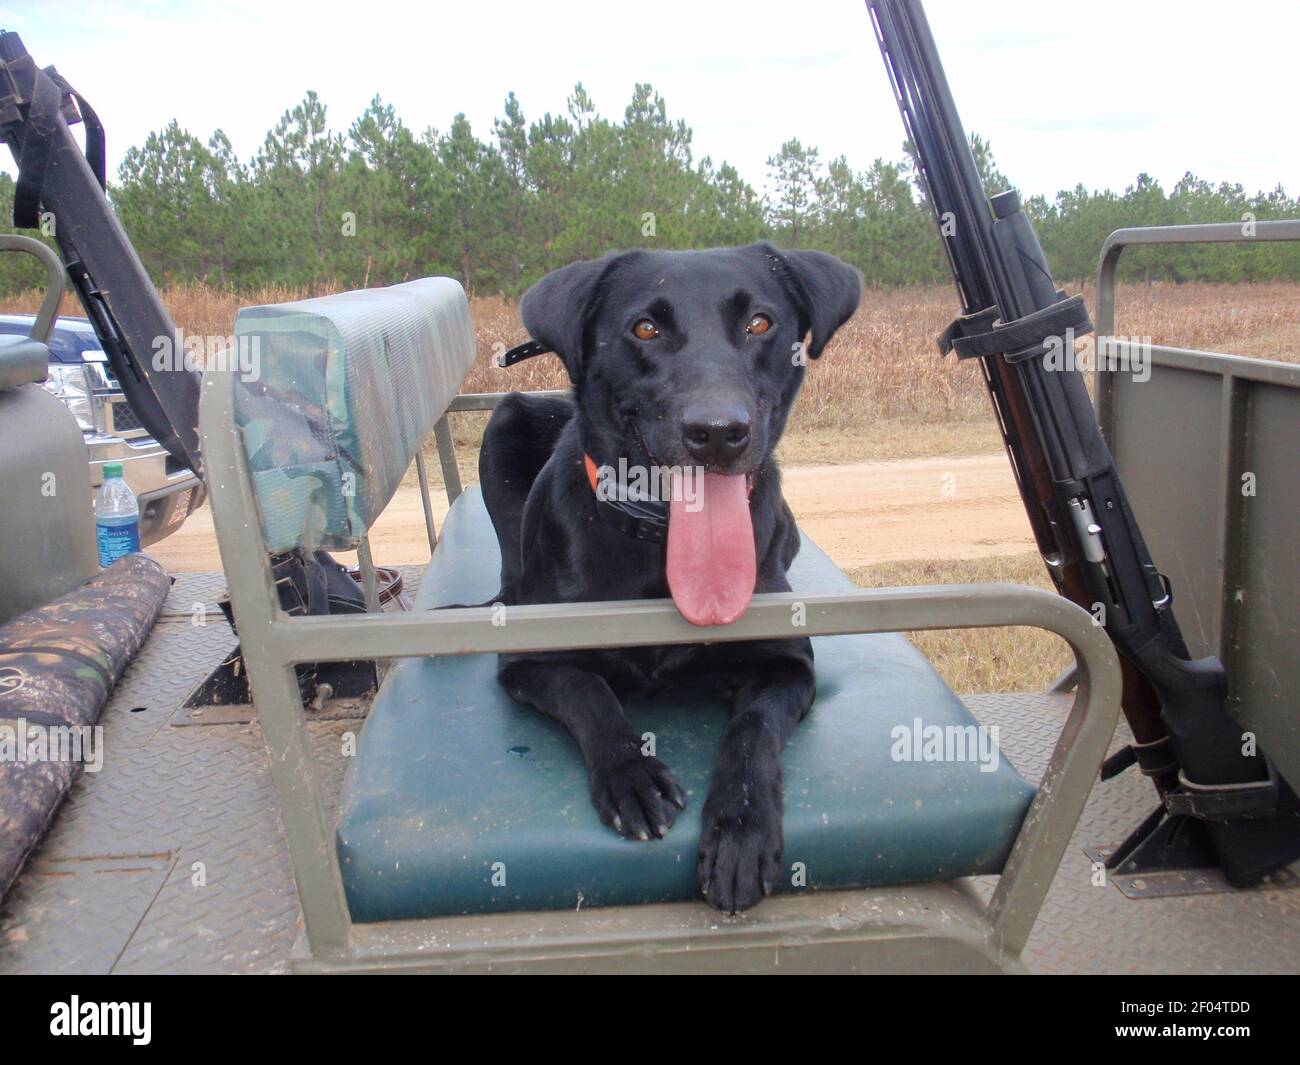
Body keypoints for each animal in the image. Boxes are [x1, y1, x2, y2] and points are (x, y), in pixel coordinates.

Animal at [480, 243, 863, 915]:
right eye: (644, 328)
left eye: (759, 323)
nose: (717, 433)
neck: (660, 543)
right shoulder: (527, 662)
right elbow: (590, 691)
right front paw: (631, 775)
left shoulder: (791, 666)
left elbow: (752, 727)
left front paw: (741, 826)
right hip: (505, 420)